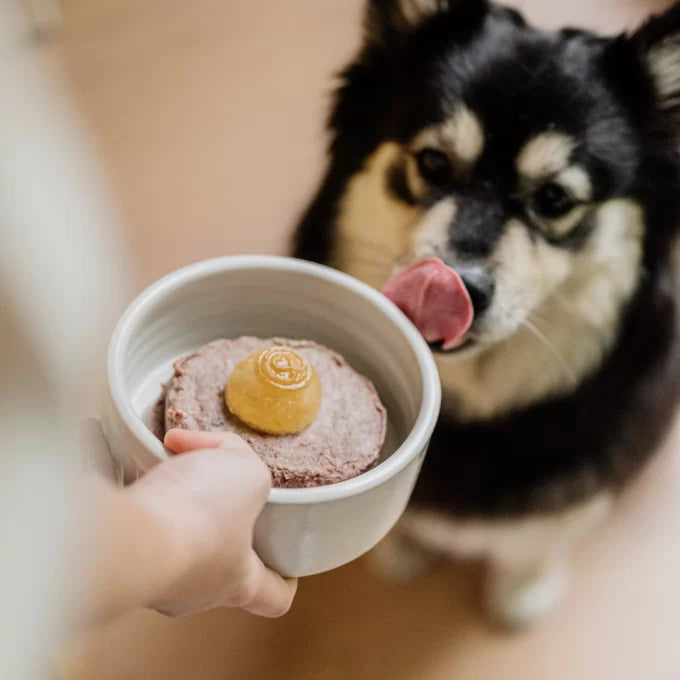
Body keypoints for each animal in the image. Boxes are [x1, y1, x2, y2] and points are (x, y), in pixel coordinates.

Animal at [292, 0, 680, 628]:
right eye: (432, 163)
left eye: (554, 199)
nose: (458, 288)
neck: (472, 403)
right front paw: (404, 547)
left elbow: (540, 535)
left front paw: (522, 587)